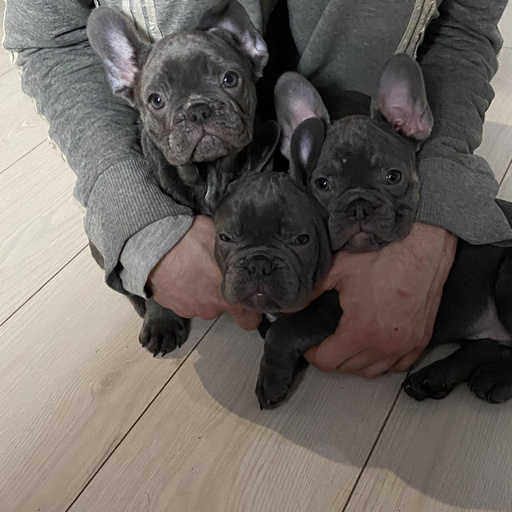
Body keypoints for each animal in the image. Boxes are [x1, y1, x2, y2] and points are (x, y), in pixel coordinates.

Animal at [87, 0, 280, 356]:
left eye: (230, 79)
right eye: (156, 100)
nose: (198, 109)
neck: (208, 171)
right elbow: (153, 281)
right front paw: (162, 320)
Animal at [276, 53, 512, 405]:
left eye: (393, 176)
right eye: (322, 184)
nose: (358, 205)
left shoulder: (338, 310)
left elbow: (288, 327)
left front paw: (271, 376)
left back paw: (494, 380)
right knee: (484, 346)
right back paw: (436, 378)